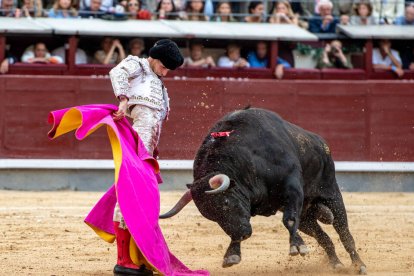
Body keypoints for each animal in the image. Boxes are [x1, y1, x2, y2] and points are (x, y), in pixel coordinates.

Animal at [160, 107, 368, 274]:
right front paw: (232, 254)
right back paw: (336, 264)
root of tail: (320, 142)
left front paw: (297, 247)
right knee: (324, 237)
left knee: (344, 232)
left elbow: (289, 220)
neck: (247, 157)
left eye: (226, 203)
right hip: (306, 216)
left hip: (331, 194)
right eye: (212, 217)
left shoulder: (292, 189)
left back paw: (359, 265)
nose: (243, 234)